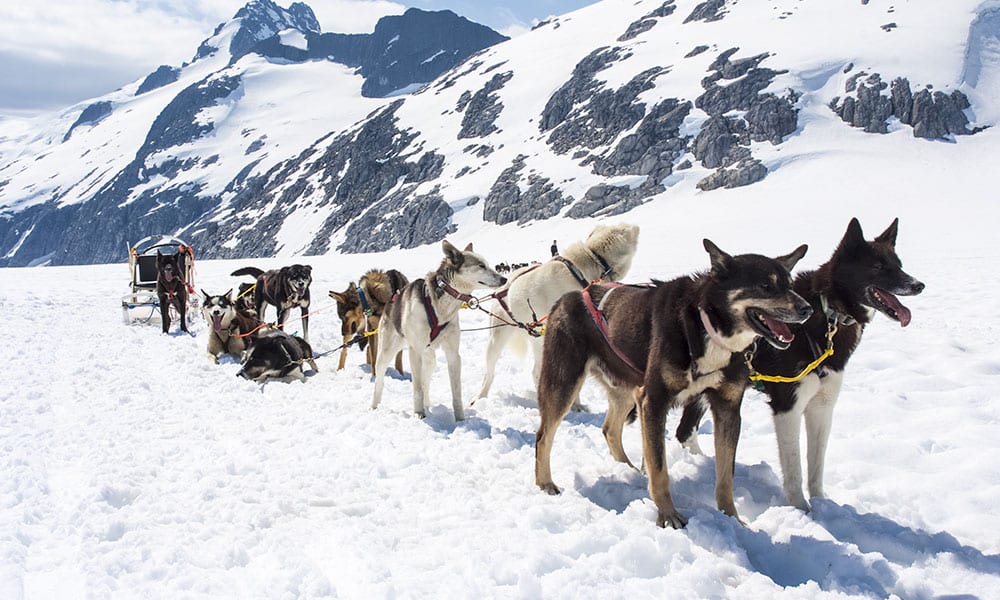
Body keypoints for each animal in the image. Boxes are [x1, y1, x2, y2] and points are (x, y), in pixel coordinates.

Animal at [370, 240, 504, 422]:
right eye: (481, 266)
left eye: (488, 264)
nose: (504, 278)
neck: (441, 307)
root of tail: (392, 300)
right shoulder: (415, 352)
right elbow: (417, 388)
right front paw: (419, 413)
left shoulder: (453, 354)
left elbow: (456, 392)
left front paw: (460, 420)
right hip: (386, 353)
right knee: (381, 381)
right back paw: (374, 406)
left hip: (430, 360)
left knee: (426, 382)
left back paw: (428, 405)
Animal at [476, 221, 640, 404]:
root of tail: (504, 286)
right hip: (497, 339)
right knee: (489, 373)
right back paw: (481, 396)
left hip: (538, 340)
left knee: (536, 372)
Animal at [536, 237, 808, 528]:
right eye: (766, 285)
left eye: (790, 284)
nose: (807, 309)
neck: (704, 327)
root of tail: (569, 296)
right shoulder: (654, 401)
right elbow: (659, 468)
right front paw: (668, 515)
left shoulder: (727, 409)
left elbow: (726, 476)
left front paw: (732, 518)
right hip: (563, 384)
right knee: (543, 436)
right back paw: (545, 484)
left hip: (626, 390)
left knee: (610, 429)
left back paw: (629, 469)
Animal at [676, 218, 924, 508]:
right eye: (878, 267)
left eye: (898, 264)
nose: (918, 285)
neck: (828, 316)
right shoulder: (788, 406)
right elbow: (794, 467)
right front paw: (801, 509)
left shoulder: (822, 406)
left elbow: (816, 464)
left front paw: (822, 506)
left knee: (684, 431)